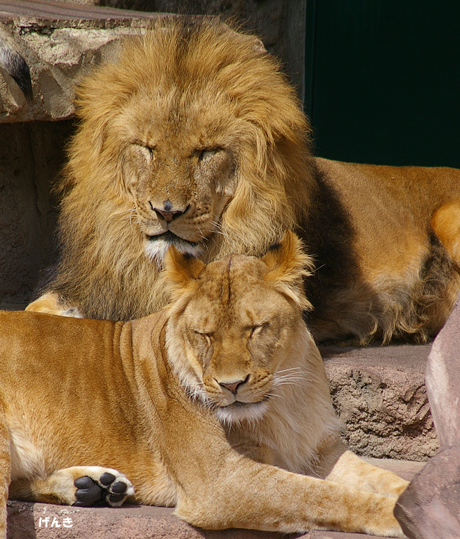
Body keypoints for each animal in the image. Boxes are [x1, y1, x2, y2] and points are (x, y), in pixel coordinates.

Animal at [0, 232, 406, 536]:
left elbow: (379, 479)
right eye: (204, 334)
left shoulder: (322, 452)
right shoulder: (220, 481)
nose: (231, 385)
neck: (283, 403)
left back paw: (93, 487)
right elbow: (322, 496)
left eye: (256, 328)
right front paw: (398, 517)